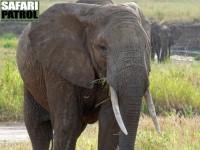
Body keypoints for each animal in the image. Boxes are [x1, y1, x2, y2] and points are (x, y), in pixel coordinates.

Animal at [17, 1, 161, 150]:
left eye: (146, 46)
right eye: (102, 47)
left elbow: (110, 123)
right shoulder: (57, 65)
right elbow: (67, 123)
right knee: (39, 128)